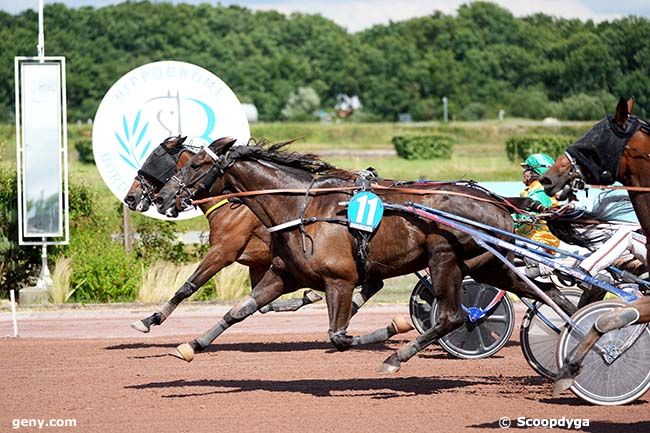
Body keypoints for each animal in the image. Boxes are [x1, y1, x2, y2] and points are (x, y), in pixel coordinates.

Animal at [154, 140, 576, 370]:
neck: (303, 208)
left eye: (194, 165)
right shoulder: (283, 276)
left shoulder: (340, 280)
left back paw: (397, 357)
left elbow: (339, 337)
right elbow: (238, 311)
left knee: (455, 316)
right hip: (488, 265)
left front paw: (393, 327)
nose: (163, 198)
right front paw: (191, 345)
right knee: (546, 294)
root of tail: (497, 199)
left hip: (446, 259)